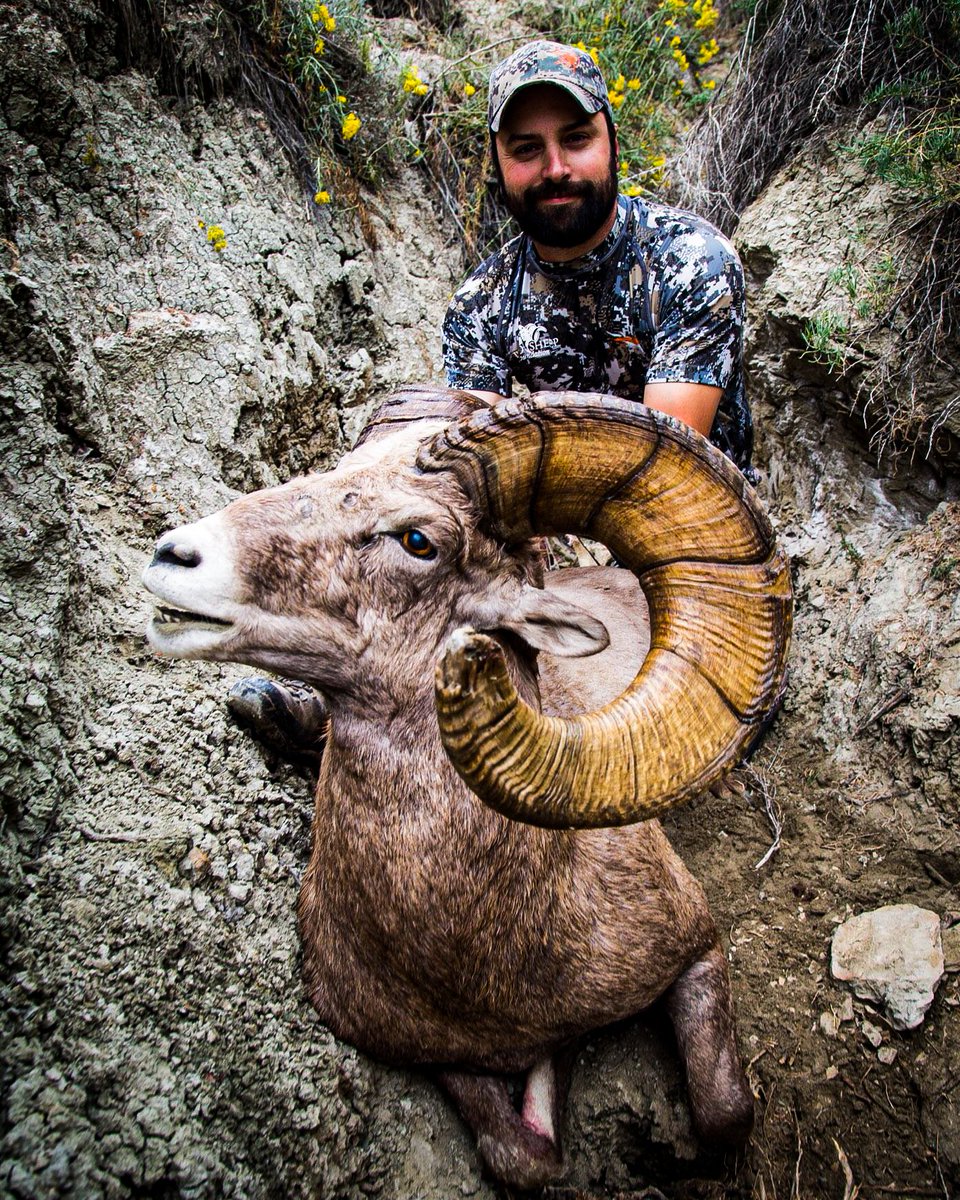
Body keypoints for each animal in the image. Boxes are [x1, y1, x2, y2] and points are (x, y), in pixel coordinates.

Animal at [142, 387, 792, 1189]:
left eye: (418, 540)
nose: (174, 556)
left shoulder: (697, 950)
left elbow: (724, 1112)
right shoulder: (435, 1056)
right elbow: (522, 1157)